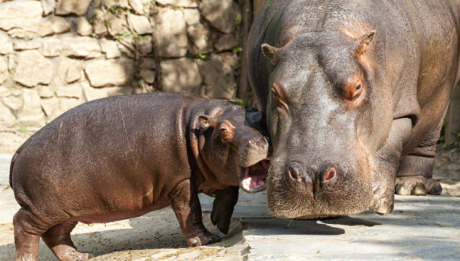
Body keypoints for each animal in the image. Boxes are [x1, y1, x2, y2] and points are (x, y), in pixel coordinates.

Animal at [9, 92, 270, 258]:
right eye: (224, 130)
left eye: (261, 117)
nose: (260, 142)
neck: (199, 129)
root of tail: (20, 148)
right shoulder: (181, 181)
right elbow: (190, 209)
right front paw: (206, 240)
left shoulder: (215, 174)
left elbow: (231, 192)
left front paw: (221, 224)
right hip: (41, 208)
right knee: (23, 225)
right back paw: (29, 259)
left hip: (68, 209)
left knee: (56, 235)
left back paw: (80, 256)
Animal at [248, 0, 460, 217]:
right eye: (275, 91)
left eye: (357, 86)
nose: (311, 175)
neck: (322, 29)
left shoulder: (402, 111)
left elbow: (389, 148)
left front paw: (380, 203)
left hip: (440, 99)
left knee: (426, 141)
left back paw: (412, 187)